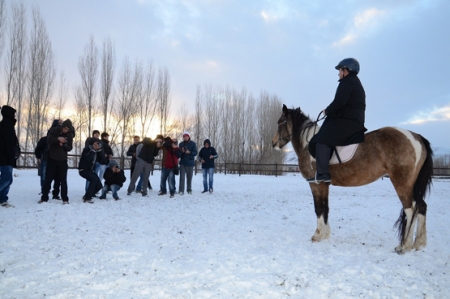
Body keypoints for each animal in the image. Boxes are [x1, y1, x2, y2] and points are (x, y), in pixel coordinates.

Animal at [272, 104, 434, 254]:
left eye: (280, 122)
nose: (274, 144)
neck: (308, 144)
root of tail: (416, 136)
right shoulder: (324, 184)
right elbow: (325, 208)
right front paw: (325, 235)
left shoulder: (315, 184)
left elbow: (318, 208)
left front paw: (317, 235)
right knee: (421, 206)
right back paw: (419, 243)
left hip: (402, 183)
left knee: (410, 210)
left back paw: (404, 246)